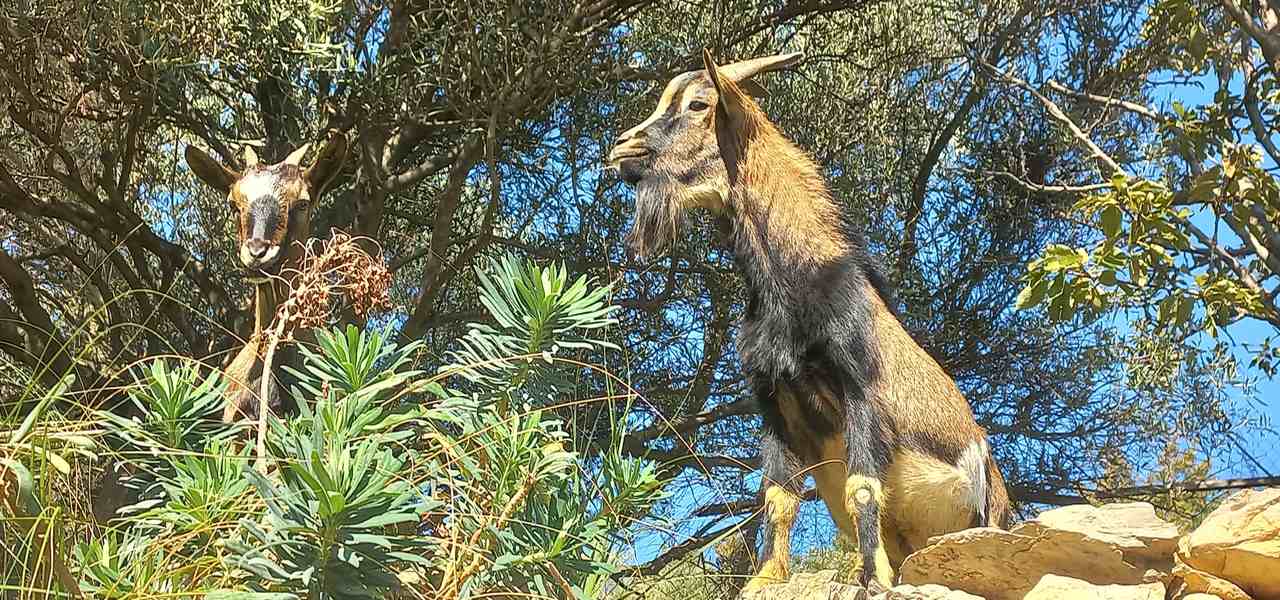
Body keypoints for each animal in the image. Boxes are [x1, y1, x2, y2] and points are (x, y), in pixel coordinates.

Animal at [607, 50, 1011, 592]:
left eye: (698, 104)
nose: (621, 148)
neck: (794, 284)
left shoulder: (860, 387)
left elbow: (862, 489)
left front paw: (873, 578)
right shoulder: (775, 401)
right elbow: (779, 499)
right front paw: (764, 579)